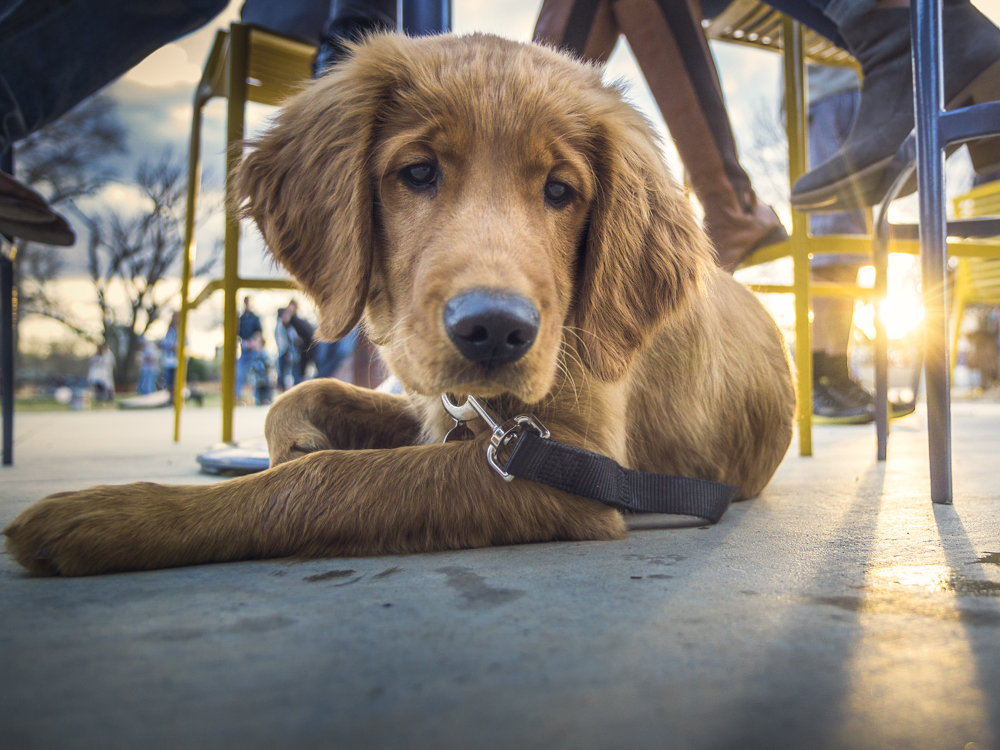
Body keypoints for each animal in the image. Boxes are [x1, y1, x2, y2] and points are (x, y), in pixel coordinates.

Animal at [3, 32, 792, 580]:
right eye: (418, 173)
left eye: (561, 191)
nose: (495, 331)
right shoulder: (440, 404)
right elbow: (306, 392)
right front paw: (295, 441)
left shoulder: (572, 460)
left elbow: (327, 482)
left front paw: (119, 515)